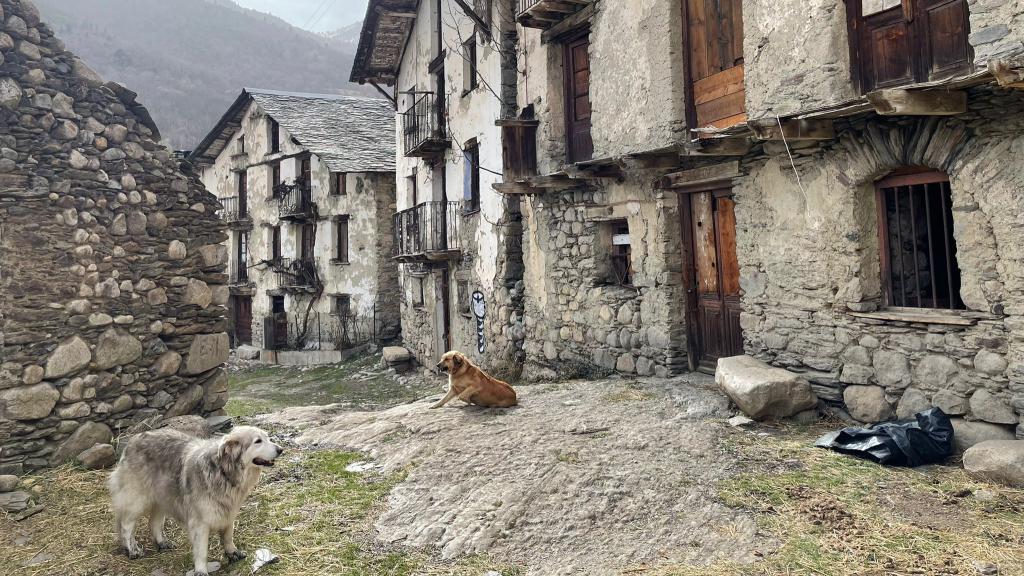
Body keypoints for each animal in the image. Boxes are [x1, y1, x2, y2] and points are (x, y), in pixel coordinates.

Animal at [107, 422, 282, 573]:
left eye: (267, 438)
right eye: (258, 441)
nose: (280, 449)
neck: (223, 471)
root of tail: (132, 441)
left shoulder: (228, 512)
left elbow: (227, 536)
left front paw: (232, 553)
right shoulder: (200, 523)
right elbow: (201, 550)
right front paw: (201, 570)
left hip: (162, 497)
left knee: (154, 522)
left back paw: (162, 542)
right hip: (137, 500)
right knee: (126, 525)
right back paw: (132, 549)